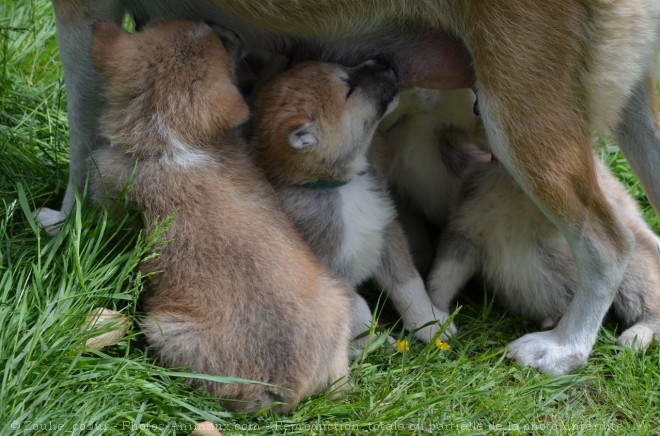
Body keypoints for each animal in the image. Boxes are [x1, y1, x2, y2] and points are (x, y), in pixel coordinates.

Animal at [428, 158, 660, 356]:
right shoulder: (465, 235)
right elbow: (441, 278)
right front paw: (436, 317)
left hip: (633, 273)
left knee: (652, 305)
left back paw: (635, 337)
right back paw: (554, 320)